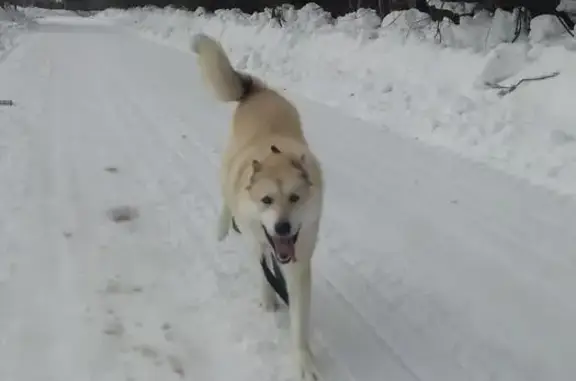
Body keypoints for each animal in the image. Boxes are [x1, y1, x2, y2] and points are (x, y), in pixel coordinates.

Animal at [192, 33, 324, 380]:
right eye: (266, 200)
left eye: (295, 198)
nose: (282, 227)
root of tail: (259, 91)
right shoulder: (257, 239)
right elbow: (262, 271)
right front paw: (268, 301)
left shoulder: (300, 264)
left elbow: (299, 321)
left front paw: (304, 362)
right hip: (229, 167)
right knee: (226, 197)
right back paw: (221, 227)